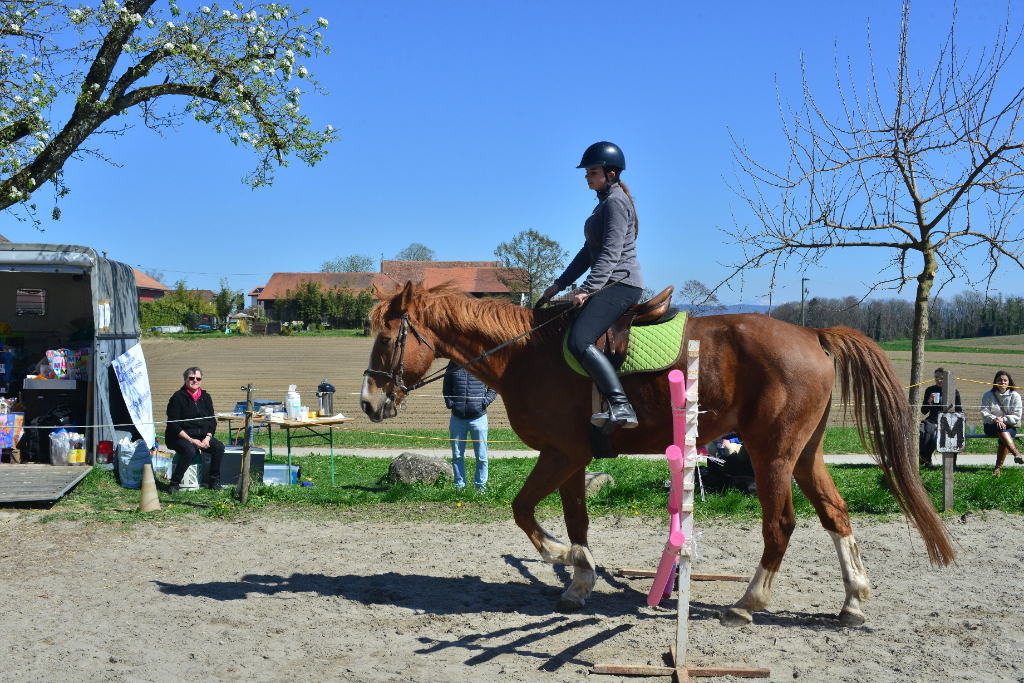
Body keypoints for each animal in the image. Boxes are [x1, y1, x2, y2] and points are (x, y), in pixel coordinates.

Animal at [359, 281, 955, 625]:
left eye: (387, 338)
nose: (368, 402)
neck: (526, 354)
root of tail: (812, 334)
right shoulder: (572, 457)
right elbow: (574, 518)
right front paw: (579, 578)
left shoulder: (560, 453)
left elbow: (524, 509)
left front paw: (560, 558)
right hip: (804, 454)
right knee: (836, 514)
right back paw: (852, 601)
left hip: (773, 456)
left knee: (781, 525)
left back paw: (749, 603)